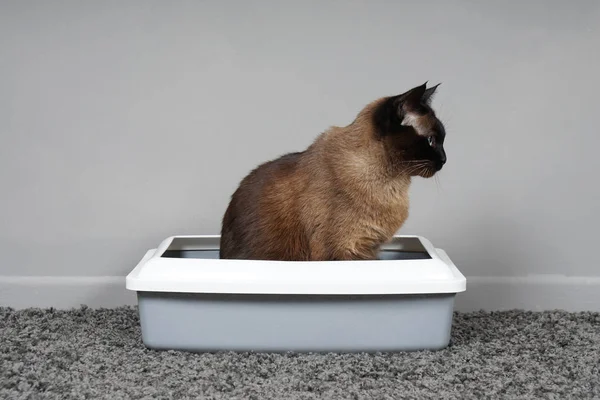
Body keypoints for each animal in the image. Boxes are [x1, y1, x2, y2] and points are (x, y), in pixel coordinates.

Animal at [219, 83, 446, 260]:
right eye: (431, 140)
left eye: (442, 139)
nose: (445, 160)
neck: (392, 183)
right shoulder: (345, 250)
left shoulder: (370, 249)